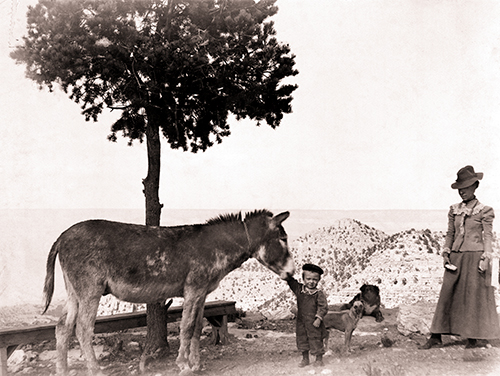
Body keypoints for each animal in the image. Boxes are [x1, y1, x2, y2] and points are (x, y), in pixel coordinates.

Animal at [43, 210, 294, 374]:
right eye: (283, 239)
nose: (292, 272)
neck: (216, 246)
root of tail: (63, 235)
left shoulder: (202, 293)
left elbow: (197, 327)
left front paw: (196, 364)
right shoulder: (193, 290)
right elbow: (187, 327)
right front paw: (183, 364)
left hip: (74, 291)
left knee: (63, 327)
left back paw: (62, 370)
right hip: (90, 290)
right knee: (83, 329)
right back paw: (96, 370)